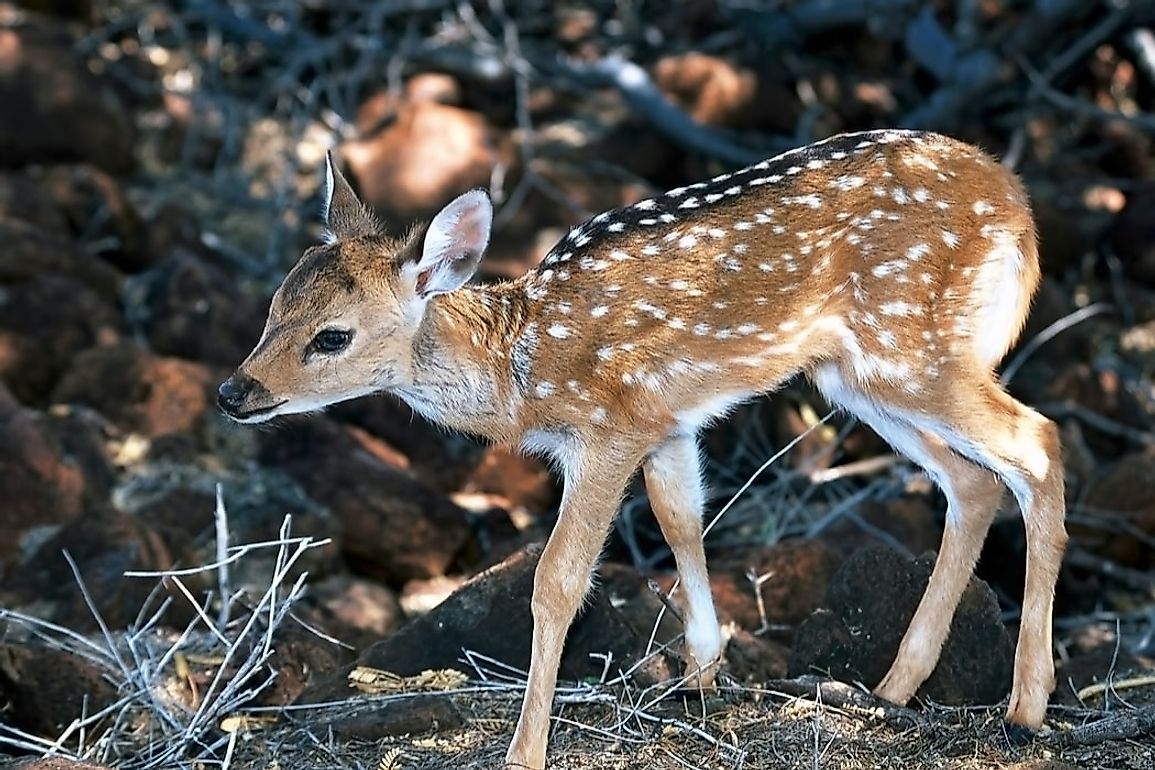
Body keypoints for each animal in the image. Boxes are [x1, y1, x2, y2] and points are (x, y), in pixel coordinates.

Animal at [217, 129, 1062, 766]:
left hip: (907, 344)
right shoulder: (668, 423)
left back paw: (1024, 708)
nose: (234, 392)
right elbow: (682, 522)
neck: (520, 369)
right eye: (274, 306)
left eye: (333, 336)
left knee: (1037, 442)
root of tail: (1016, 200)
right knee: (973, 482)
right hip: (856, 375)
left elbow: (557, 581)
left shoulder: (607, 427)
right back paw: (889, 690)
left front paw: (526, 750)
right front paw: (701, 674)